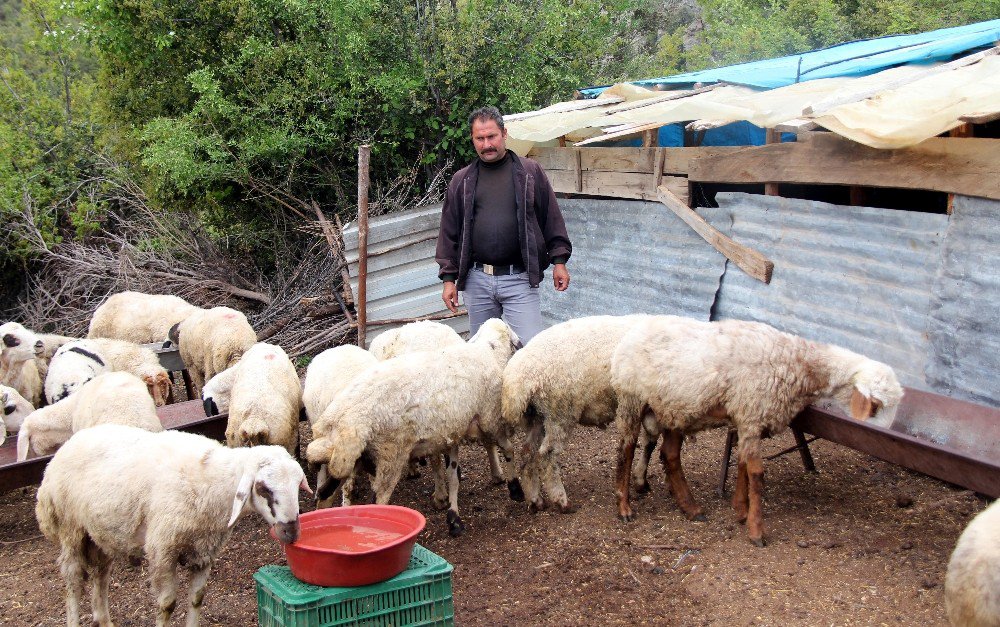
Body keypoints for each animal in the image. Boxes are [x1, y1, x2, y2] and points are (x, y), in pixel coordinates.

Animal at [36, 422, 308, 627]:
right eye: (263, 488)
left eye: (298, 485)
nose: (291, 532)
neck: (211, 481)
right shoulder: (162, 550)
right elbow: (167, 604)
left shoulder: (204, 550)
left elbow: (197, 598)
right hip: (71, 529)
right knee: (73, 578)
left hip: (101, 533)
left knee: (101, 573)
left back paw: (104, 619)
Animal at [304, 322, 524, 536]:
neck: (488, 353)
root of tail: (338, 421)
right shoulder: (490, 420)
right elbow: (509, 449)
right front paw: (515, 489)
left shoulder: (452, 432)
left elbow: (453, 475)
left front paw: (453, 518)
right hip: (389, 456)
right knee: (377, 501)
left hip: (348, 460)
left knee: (325, 494)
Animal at [500, 314, 648, 516]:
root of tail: (519, 378)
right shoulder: (635, 402)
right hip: (560, 412)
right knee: (546, 455)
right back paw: (562, 501)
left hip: (538, 416)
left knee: (527, 453)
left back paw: (535, 500)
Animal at [608, 316, 908, 548]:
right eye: (876, 406)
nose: (887, 438)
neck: (799, 362)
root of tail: (630, 334)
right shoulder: (752, 414)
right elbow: (756, 474)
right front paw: (756, 530)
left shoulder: (748, 418)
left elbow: (742, 465)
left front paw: (740, 509)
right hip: (632, 397)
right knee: (626, 448)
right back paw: (624, 507)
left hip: (676, 407)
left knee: (669, 455)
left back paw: (690, 508)